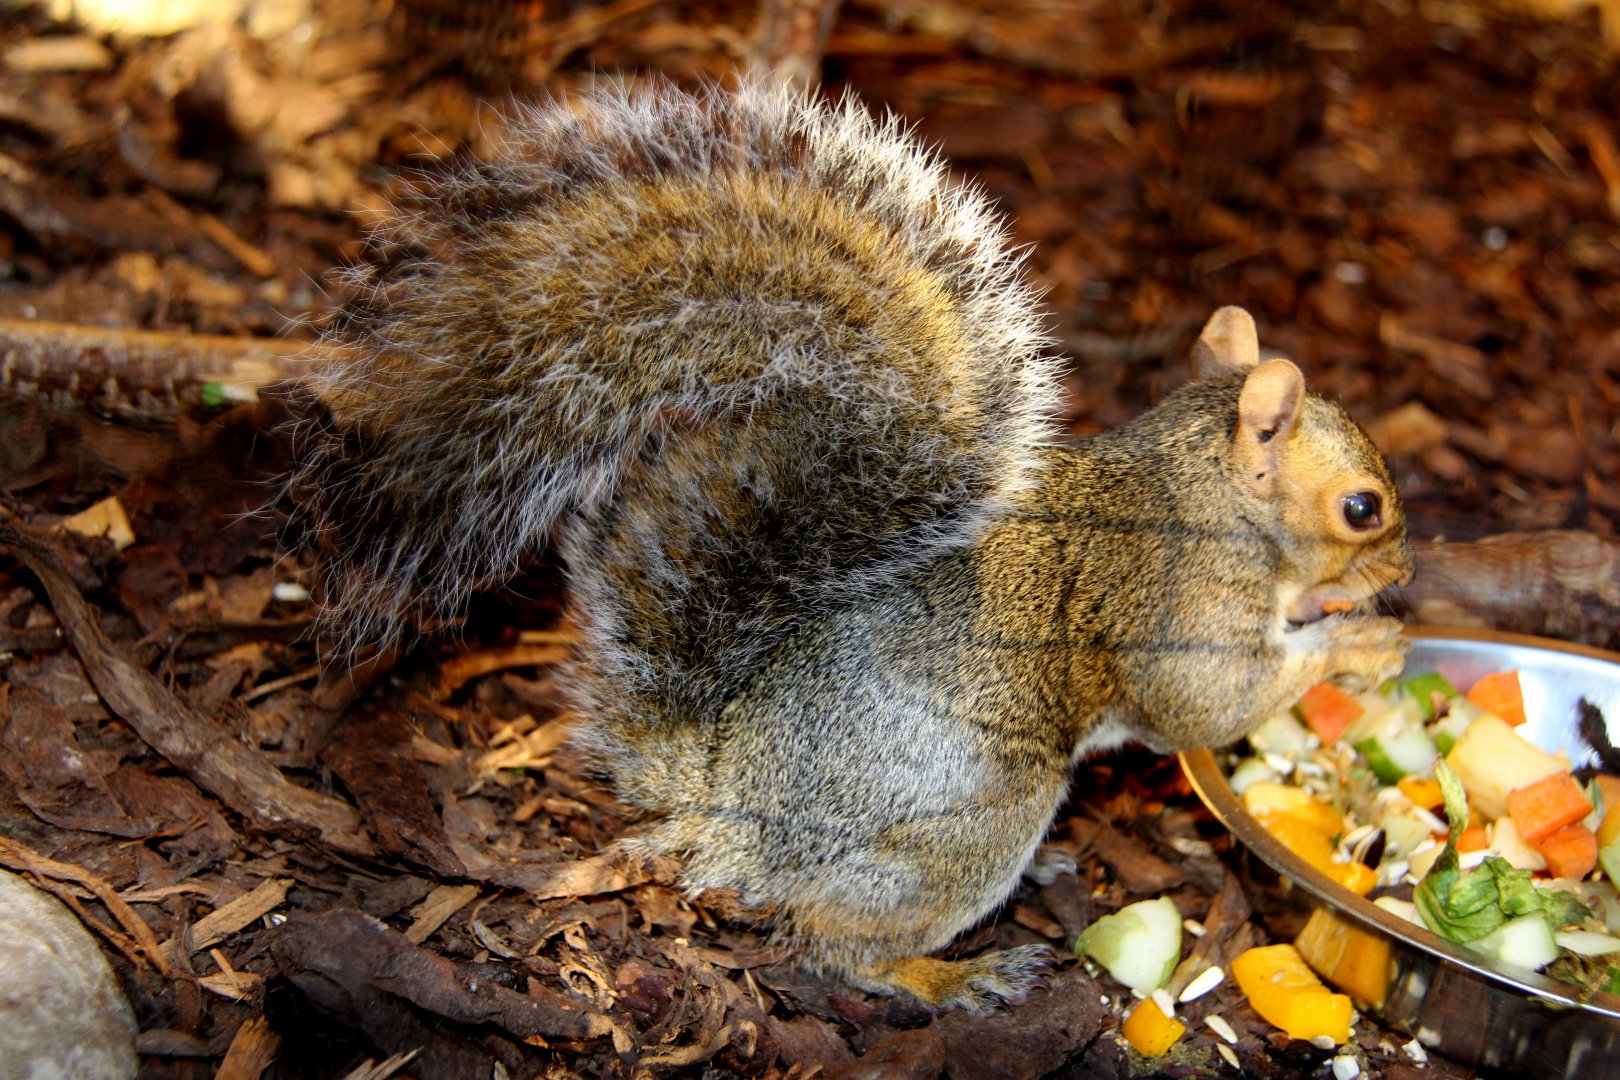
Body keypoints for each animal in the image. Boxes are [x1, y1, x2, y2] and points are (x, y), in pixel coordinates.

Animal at [283, 77, 1415, 1011]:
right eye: (1363, 507)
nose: (1405, 570)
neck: (1201, 492)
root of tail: (720, 794)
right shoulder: (1180, 606)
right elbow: (1207, 706)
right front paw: (1358, 639)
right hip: (973, 819)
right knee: (834, 941)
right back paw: (944, 975)